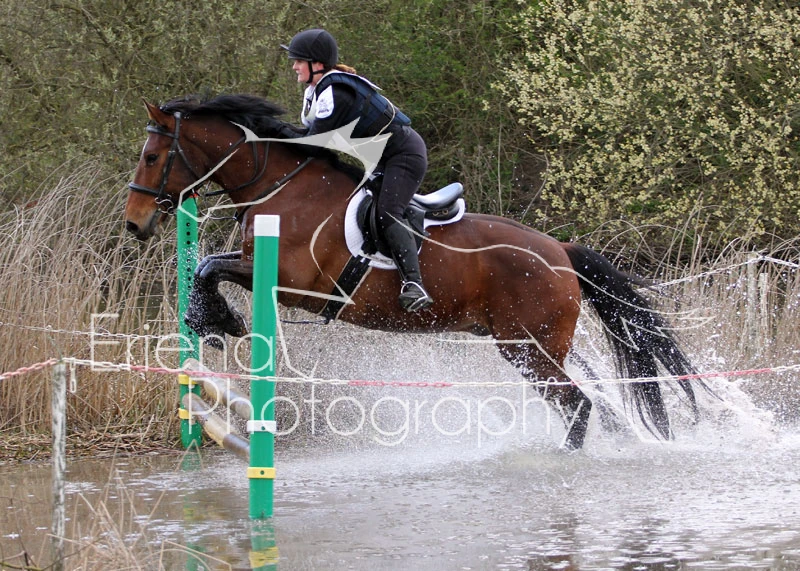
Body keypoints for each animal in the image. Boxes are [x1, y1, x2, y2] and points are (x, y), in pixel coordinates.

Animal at [124, 93, 701, 449]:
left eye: (152, 156)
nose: (135, 224)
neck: (281, 187)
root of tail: (559, 251)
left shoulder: (296, 285)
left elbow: (207, 266)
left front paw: (216, 320)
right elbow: (207, 266)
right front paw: (213, 321)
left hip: (528, 349)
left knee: (578, 405)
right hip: (537, 345)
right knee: (595, 400)